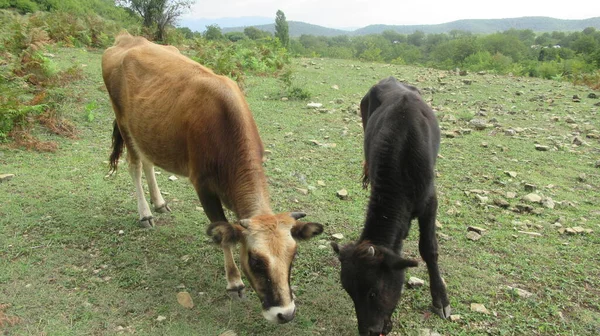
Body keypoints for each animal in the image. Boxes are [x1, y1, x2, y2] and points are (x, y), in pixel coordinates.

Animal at [102, 33, 324, 322]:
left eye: (293, 256)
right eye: (256, 261)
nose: (284, 313)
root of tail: (127, 38)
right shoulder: (203, 185)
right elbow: (222, 232)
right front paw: (234, 282)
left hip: (147, 130)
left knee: (148, 161)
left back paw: (159, 203)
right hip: (123, 122)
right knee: (136, 165)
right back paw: (145, 214)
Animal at [332, 77, 450, 336]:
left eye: (373, 292)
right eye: (349, 292)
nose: (369, 331)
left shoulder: (430, 201)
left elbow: (429, 249)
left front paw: (441, 300)